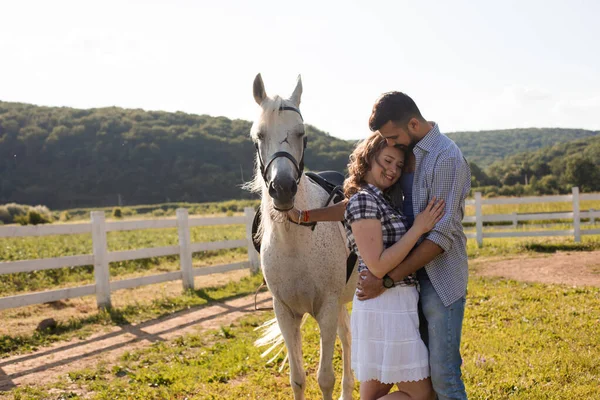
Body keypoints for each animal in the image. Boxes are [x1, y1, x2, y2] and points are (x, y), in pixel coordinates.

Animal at [247, 72, 356, 400]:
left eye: (301, 133)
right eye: (258, 136)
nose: (282, 188)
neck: (294, 242)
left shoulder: (327, 308)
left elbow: (325, 378)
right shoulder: (285, 312)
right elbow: (297, 378)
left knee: (347, 340)